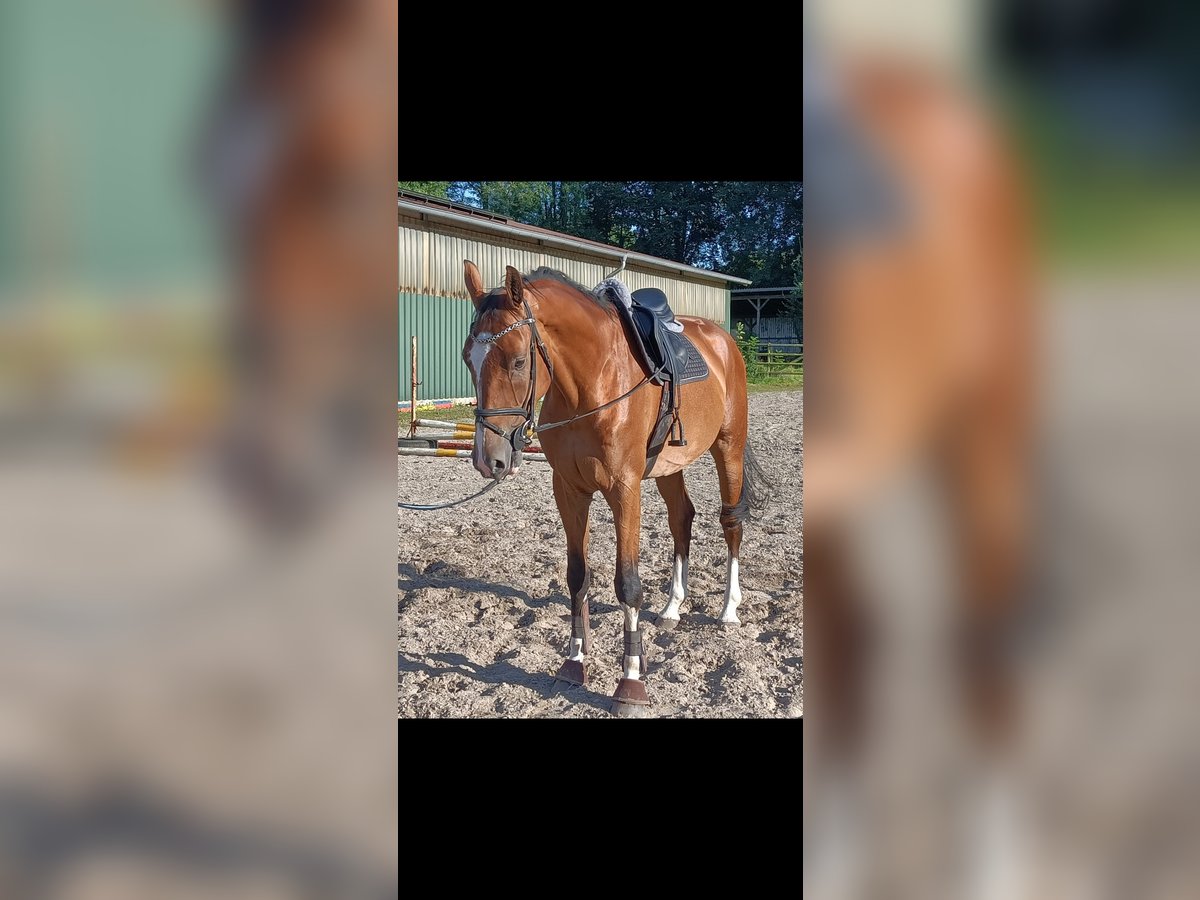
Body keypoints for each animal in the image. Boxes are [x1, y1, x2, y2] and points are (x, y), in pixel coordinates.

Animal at [460, 261, 769, 716]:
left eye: (518, 361)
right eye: (469, 358)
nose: (489, 459)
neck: (589, 385)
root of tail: (722, 339)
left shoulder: (625, 489)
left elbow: (628, 584)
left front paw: (631, 681)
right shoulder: (568, 489)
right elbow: (577, 576)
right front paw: (574, 662)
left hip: (728, 447)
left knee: (731, 522)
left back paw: (729, 609)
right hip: (668, 466)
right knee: (682, 519)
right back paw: (673, 607)